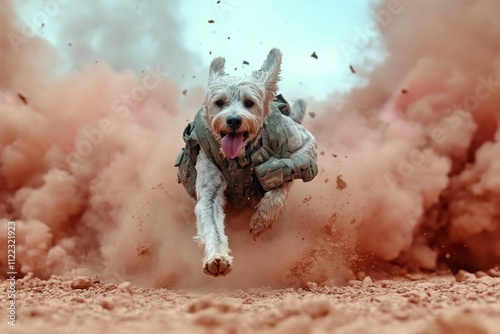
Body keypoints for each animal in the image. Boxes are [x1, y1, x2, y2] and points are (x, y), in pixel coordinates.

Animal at [176, 47, 316, 276]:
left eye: (249, 103)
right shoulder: (209, 189)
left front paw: (263, 218)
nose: (233, 120)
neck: (242, 156)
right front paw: (217, 257)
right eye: (219, 103)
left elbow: (286, 174)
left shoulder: (305, 142)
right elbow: (210, 219)